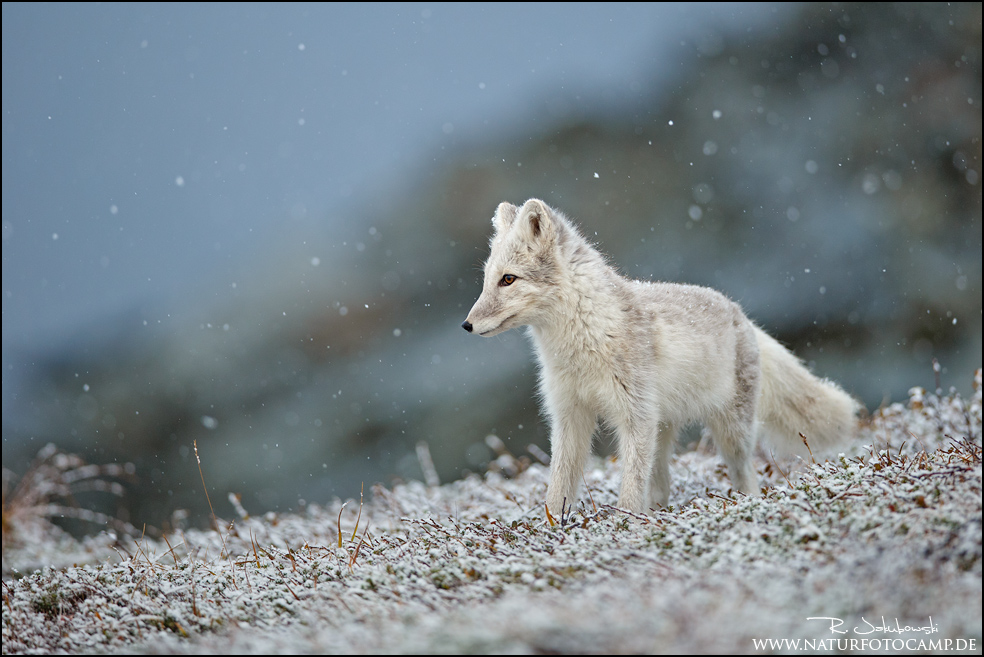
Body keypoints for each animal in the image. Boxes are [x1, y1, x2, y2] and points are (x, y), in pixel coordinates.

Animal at [466, 197, 856, 516]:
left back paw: (743, 503)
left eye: (508, 280)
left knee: (745, 473)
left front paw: (624, 524)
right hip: (663, 430)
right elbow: (558, 483)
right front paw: (551, 528)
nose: (466, 325)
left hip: (730, 433)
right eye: (486, 280)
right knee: (663, 484)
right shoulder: (569, 415)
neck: (582, 345)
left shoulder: (635, 416)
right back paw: (656, 514)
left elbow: (628, 486)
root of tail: (741, 313)